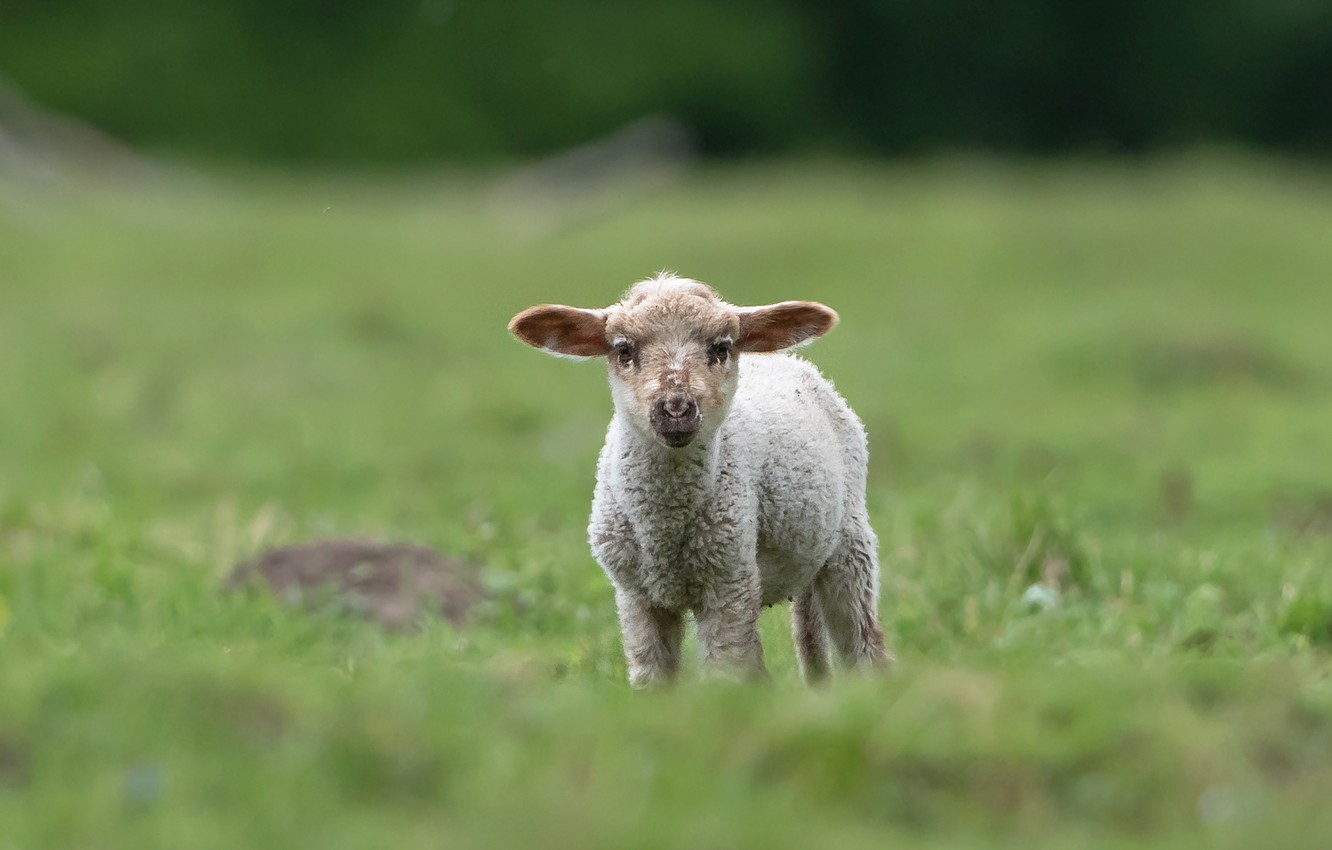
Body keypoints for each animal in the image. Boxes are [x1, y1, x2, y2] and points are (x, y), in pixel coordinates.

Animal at [508, 272, 892, 685]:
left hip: (849, 543)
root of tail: (788, 359)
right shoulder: (635, 594)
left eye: (721, 348)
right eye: (624, 350)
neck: (665, 527)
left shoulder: (728, 581)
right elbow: (655, 680)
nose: (676, 408)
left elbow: (726, 673)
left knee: (863, 643)